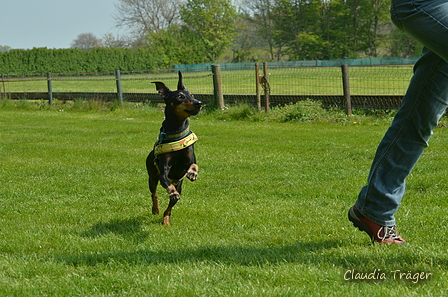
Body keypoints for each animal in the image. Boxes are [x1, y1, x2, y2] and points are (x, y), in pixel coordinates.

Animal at [146, 71, 202, 224]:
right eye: (180, 96)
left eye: (192, 95)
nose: (199, 103)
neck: (177, 130)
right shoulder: (163, 171)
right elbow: (165, 180)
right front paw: (171, 191)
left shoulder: (190, 158)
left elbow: (194, 164)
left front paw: (193, 173)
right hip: (152, 177)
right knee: (154, 193)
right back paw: (156, 209)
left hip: (180, 185)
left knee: (170, 208)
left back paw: (166, 219)